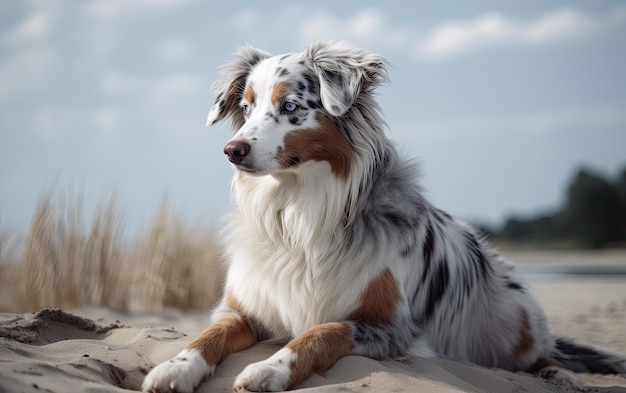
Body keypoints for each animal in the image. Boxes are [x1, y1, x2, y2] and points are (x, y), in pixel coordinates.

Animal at [143, 41, 624, 390]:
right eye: (245, 107)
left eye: (291, 107)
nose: (232, 151)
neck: (298, 212)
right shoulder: (242, 308)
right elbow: (207, 336)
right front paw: (175, 367)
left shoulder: (392, 327)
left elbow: (321, 331)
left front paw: (269, 368)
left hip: (512, 317)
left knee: (544, 353)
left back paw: (561, 374)